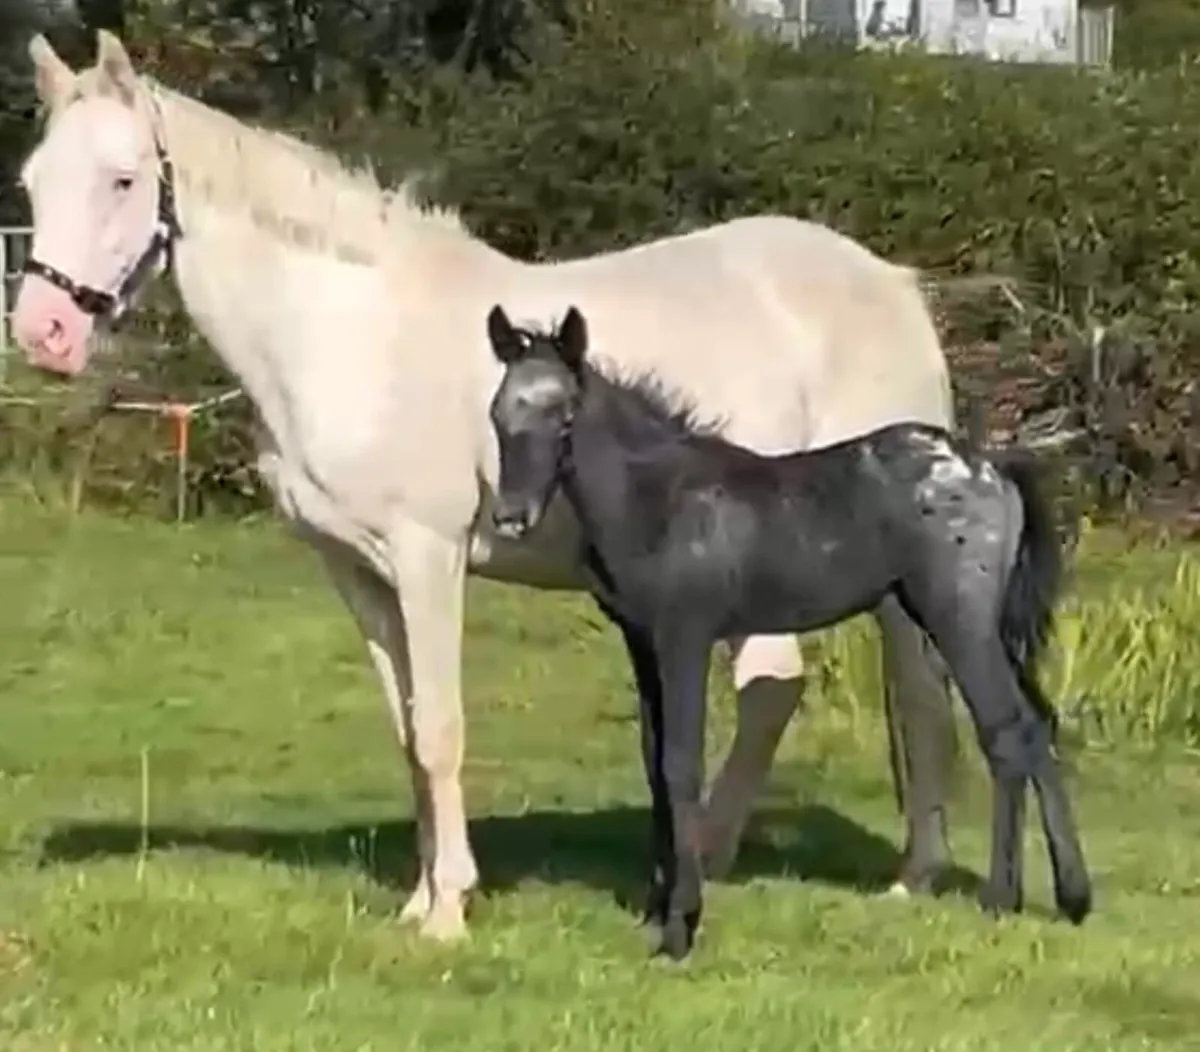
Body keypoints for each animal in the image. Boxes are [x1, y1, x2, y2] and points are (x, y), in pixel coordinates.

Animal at [15, 30, 980, 941]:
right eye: (31, 184)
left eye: (123, 180)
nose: (43, 332)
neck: (350, 333)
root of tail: (893, 285)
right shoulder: (357, 573)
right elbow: (408, 728)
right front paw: (419, 901)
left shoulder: (428, 556)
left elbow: (443, 728)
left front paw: (450, 914)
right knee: (823, 688)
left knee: (878, 688)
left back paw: (846, 871)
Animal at [484, 304, 1092, 960]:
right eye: (498, 413)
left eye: (564, 416)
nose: (511, 517)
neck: (660, 498)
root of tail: (994, 468)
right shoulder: (641, 641)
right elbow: (653, 764)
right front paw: (655, 907)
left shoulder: (684, 636)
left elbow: (680, 765)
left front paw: (680, 926)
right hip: (983, 624)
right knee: (1035, 724)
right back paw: (1070, 897)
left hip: (959, 617)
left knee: (1005, 730)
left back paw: (1003, 897)